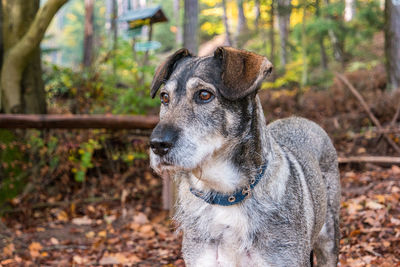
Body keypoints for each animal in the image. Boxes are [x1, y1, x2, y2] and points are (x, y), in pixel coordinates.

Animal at [148, 47, 340, 266]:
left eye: (204, 95)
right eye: (164, 97)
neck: (224, 195)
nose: (157, 145)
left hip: (329, 240)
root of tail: (302, 119)